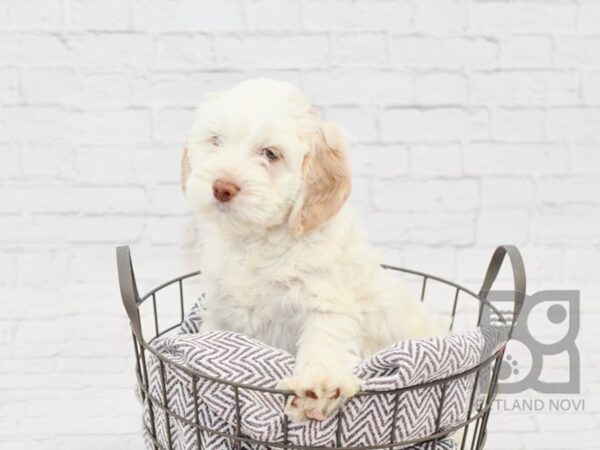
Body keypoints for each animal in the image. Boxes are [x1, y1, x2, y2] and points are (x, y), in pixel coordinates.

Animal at [178, 80, 440, 422]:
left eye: (270, 154)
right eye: (216, 141)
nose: (222, 187)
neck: (257, 240)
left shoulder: (326, 303)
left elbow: (324, 344)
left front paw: (319, 385)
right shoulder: (223, 313)